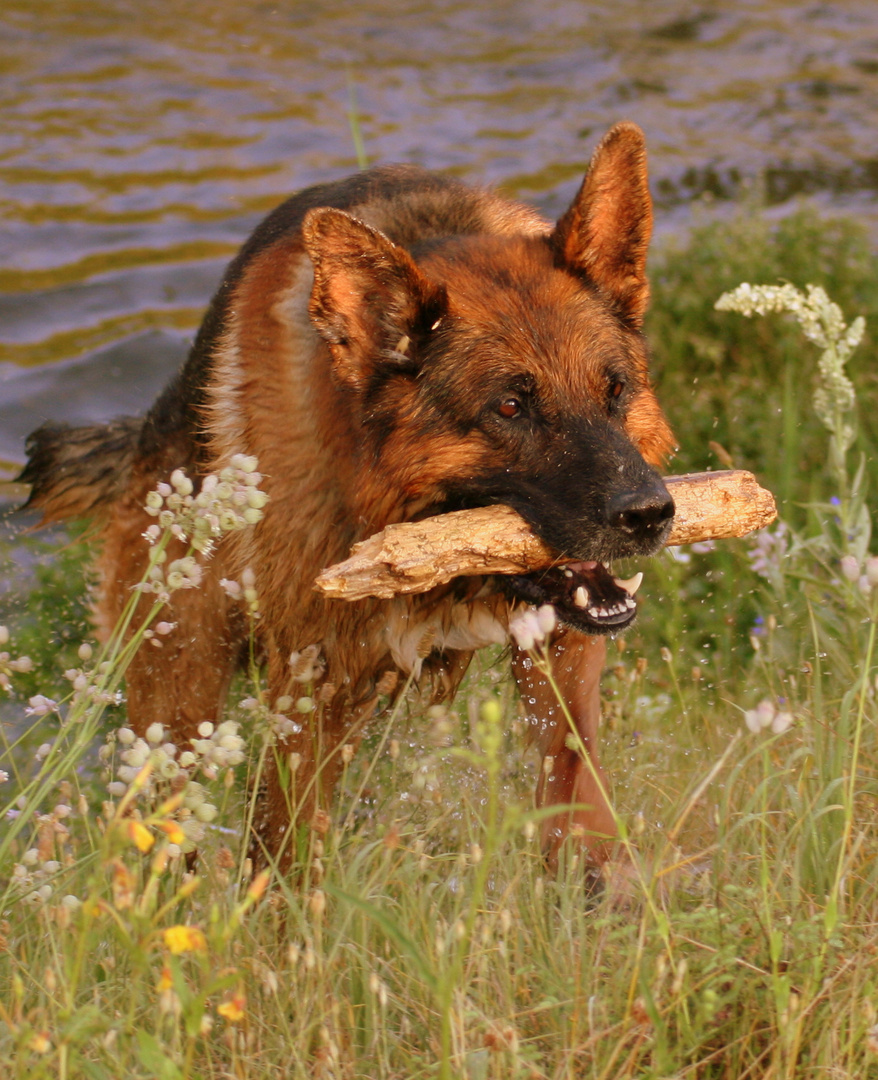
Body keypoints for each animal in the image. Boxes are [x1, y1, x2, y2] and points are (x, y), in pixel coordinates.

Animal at [22, 120, 678, 876]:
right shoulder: (316, 680)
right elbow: (286, 842)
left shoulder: (557, 654)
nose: (651, 515)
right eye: (511, 407)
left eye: (615, 390)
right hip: (179, 687)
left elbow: (576, 787)